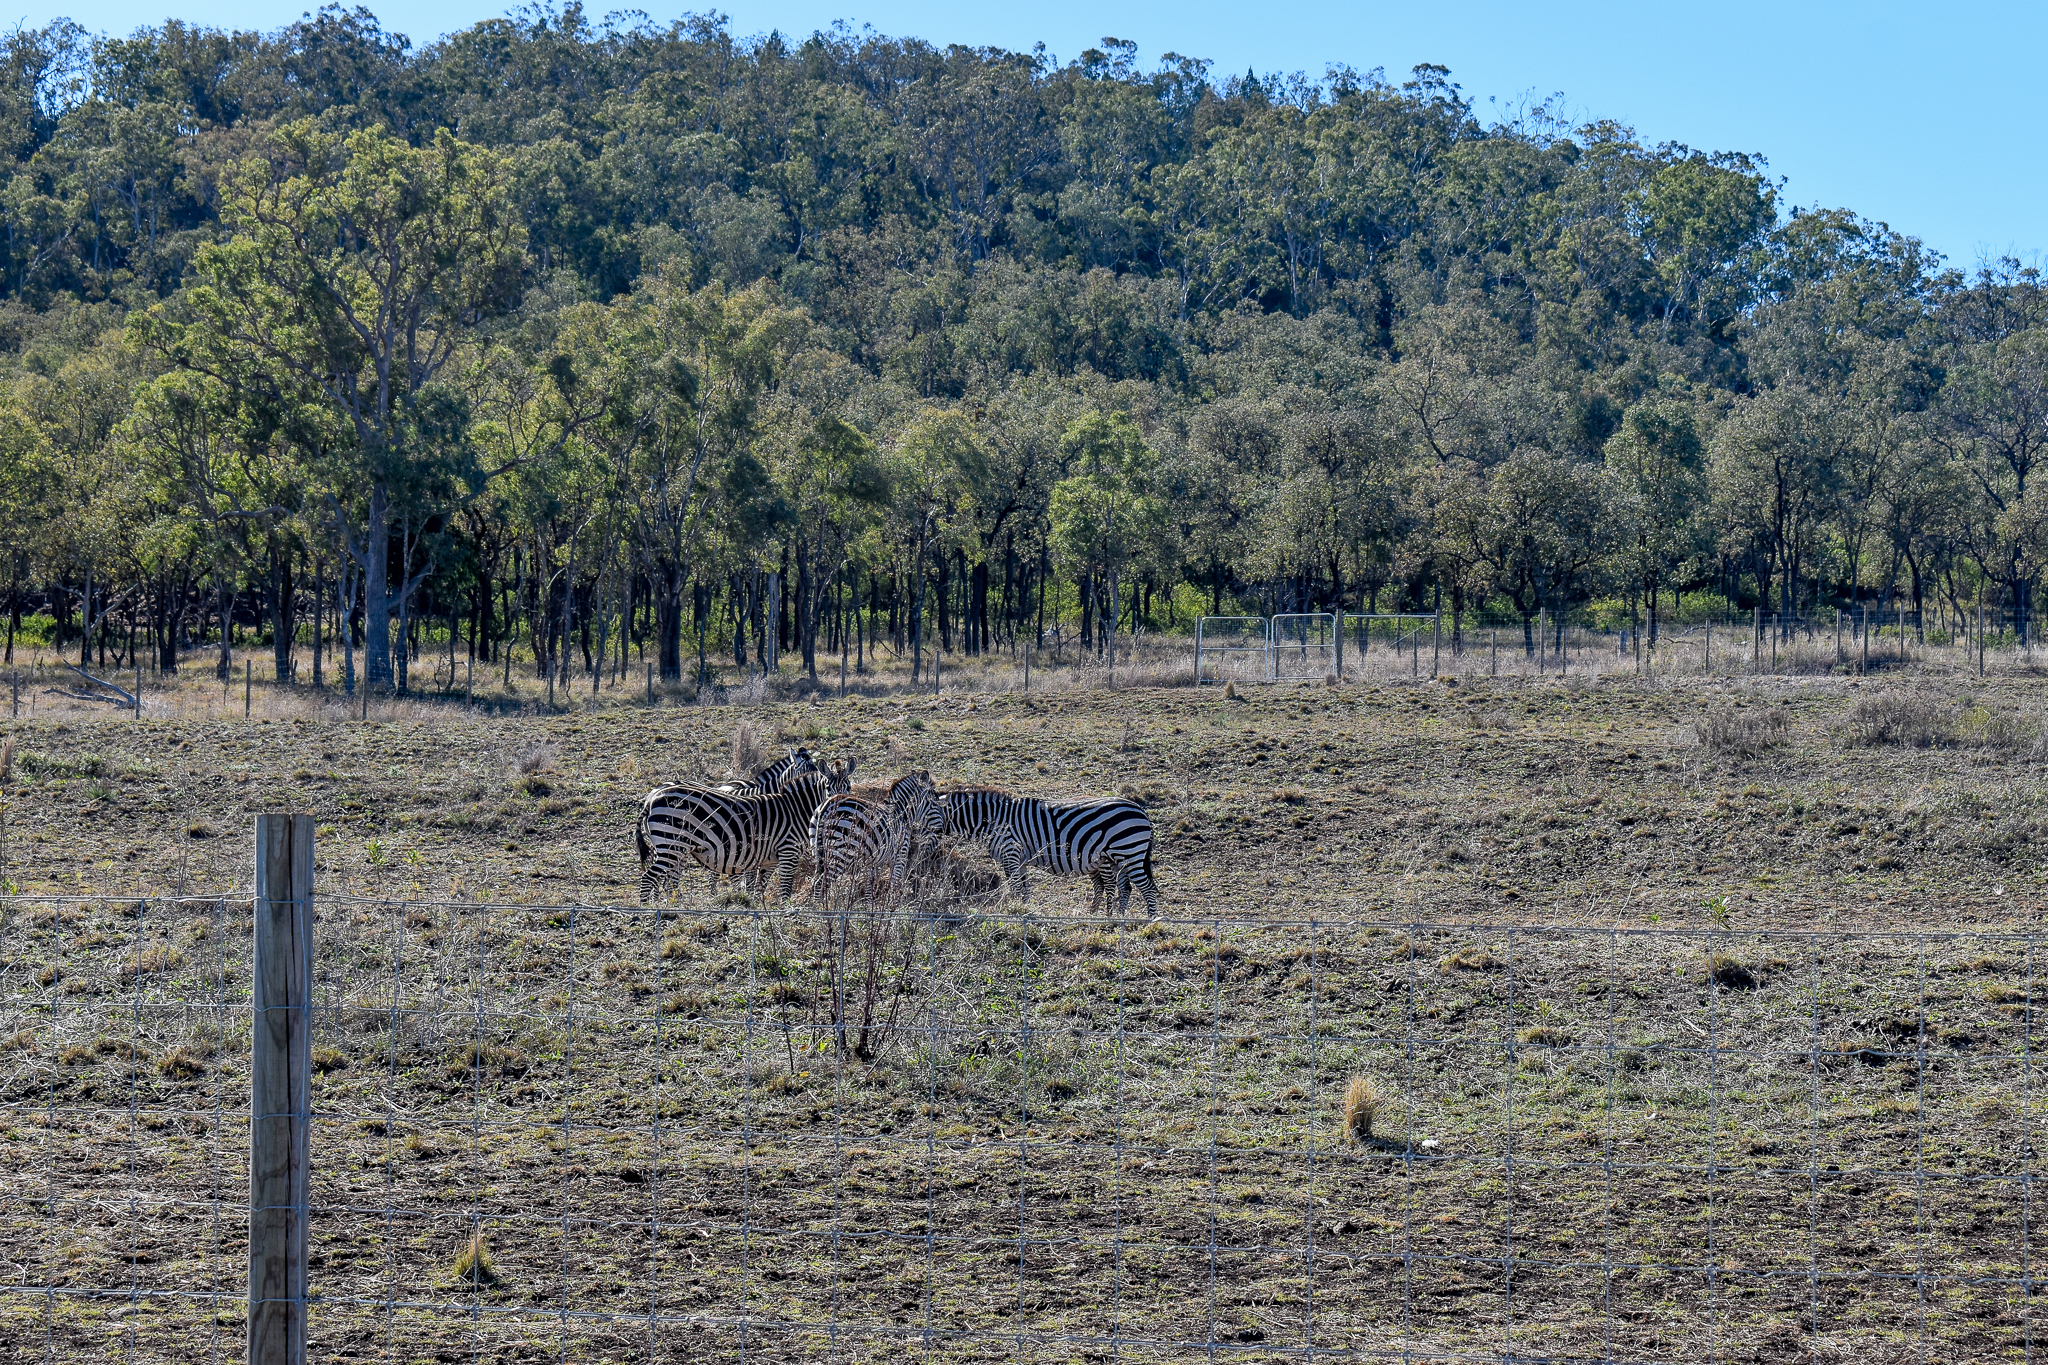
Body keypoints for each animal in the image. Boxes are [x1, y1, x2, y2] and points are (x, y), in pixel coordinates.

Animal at [634, 763, 849, 904]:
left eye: (848, 787)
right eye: (828, 788)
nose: (837, 809)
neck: (794, 809)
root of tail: (651, 799)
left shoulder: (769, 858)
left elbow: (759, 887)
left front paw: (758, 910)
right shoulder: (788, 850)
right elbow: (785, 887)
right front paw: (785, 912)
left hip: (671, 848)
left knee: (669, 880)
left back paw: (674, 907)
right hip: (670, 844)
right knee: (648, 878)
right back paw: (647, 912)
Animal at [947, 790, 1158, 916]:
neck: (994, 820)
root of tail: (1140, 810)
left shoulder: (1010, 854)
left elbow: (1015, 887)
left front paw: (1013, 910)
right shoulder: (1019, 860)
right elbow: (1024, 888)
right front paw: (1024, 910)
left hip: (1129, 853)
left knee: (1146, 888)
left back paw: (1149, 922)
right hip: (1119, 859)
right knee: (1124, 887)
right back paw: (1117, 918)